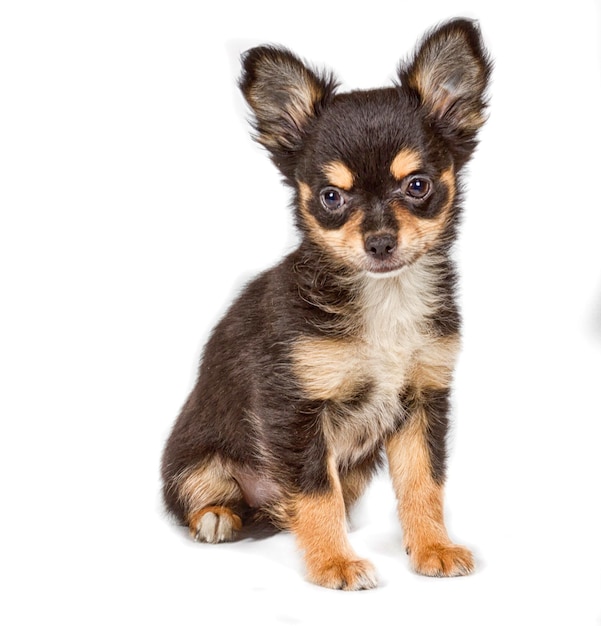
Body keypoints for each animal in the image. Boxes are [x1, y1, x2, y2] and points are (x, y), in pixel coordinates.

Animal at [162, 17, 490, 588]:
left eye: (418, 185)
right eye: (331, 197)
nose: (379, 243)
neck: (384, 297)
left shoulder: (423, 398)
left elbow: (423, 483)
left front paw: (432, 546)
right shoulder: (294, 409)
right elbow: (316, 494)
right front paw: (334, 562)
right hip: (194, 455)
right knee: (201, 494)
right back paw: (219, 516)